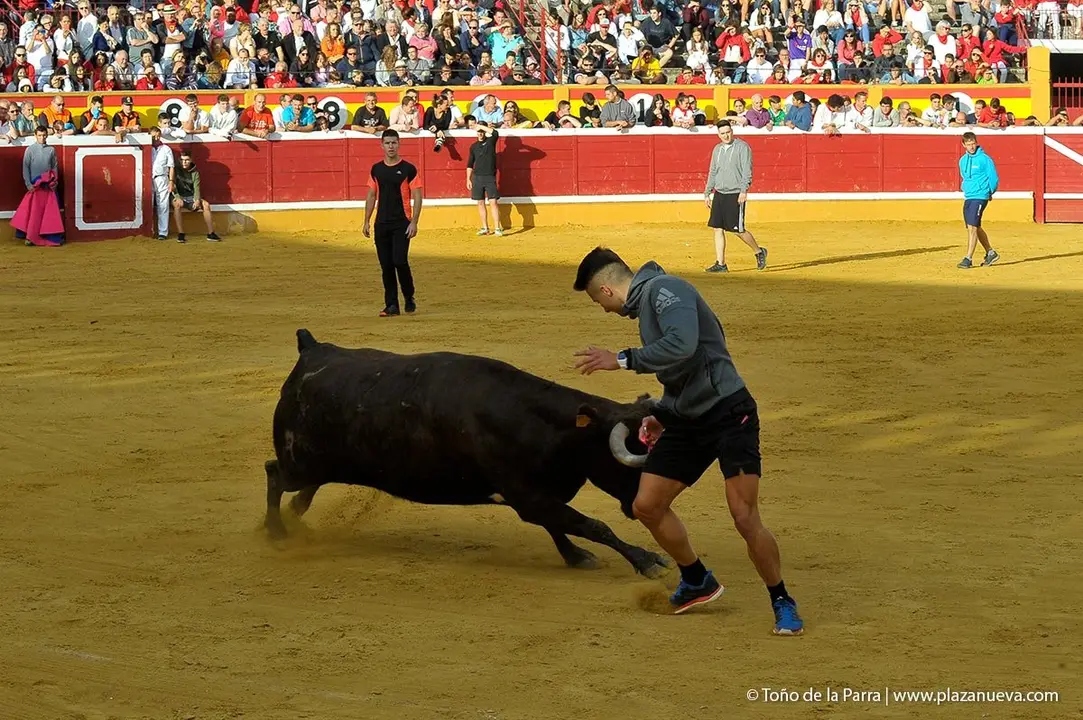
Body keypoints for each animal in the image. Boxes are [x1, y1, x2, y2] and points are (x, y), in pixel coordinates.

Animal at [263, 329, 670, 578]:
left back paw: (292, 518)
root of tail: (312, 349)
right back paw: (275, 531)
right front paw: (647, 560)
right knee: (274, 473)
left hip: (321, 463)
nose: (644, 505)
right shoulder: (527, 496)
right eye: (632, 457)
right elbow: (591, 525)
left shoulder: (537, 497)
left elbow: (561, 525)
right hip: (299, 462)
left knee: (302, 488)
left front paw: (577, 557)